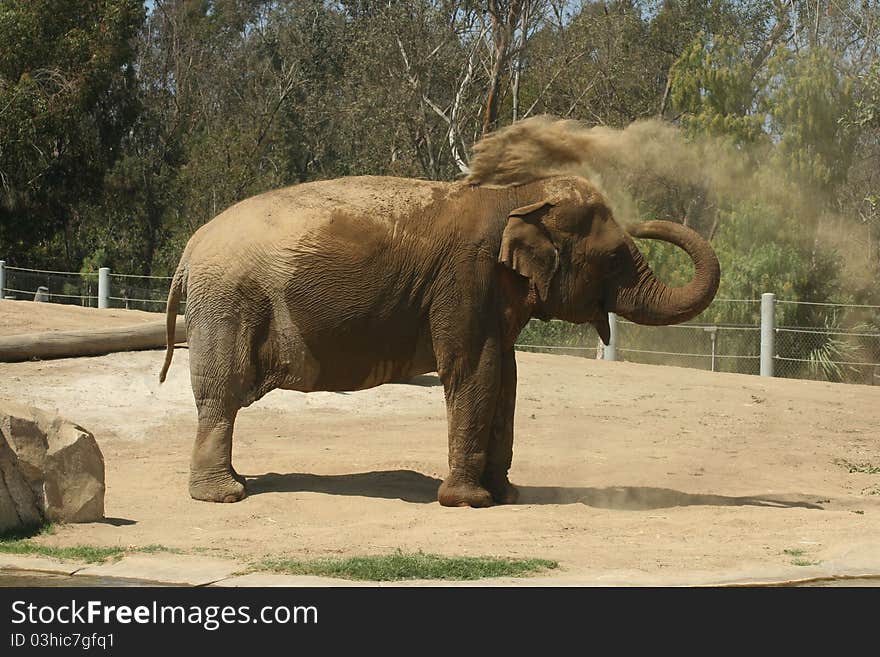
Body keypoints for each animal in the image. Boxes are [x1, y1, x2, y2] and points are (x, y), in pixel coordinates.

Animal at [158, 167, 720, 504]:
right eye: (614, 257)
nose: (644, 221)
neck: (517, 196)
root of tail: (191, 248)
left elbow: (507, 377)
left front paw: (506, 495)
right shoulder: (464, 279)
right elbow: (475, 370)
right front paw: (470, 502)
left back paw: (237, 484)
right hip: (228, 301)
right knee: (222, 394)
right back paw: (225, 495)